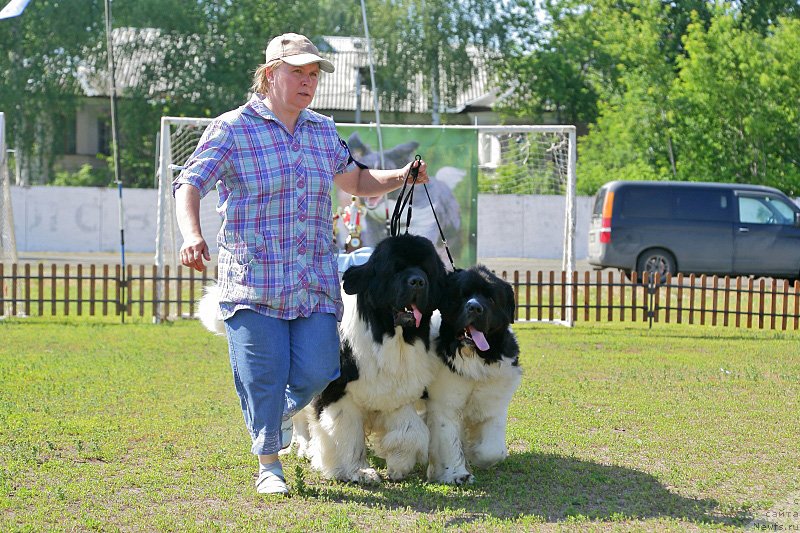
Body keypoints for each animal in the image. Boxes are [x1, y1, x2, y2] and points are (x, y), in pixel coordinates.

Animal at [296, 233, 450, 482]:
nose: (417, 281)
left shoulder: (395, 391)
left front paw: (399, 464)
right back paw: (303, 447)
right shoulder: (338, 393)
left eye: (426, 270)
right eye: (396, 269)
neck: (392, 337)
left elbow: (413, 431)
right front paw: (356, 471)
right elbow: (346, 432)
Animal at [424, 264, 524, 482]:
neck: (476, 358)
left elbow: (492, 450)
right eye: (462, 296)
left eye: (491, 299)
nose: (475, 308)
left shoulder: (494, 400)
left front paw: (474, 454)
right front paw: (456, 474)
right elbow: (449, 440)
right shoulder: (445, 404)